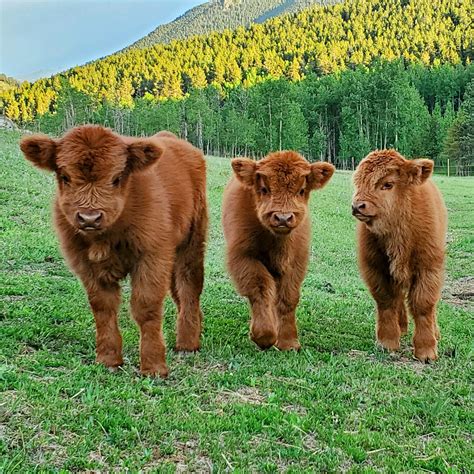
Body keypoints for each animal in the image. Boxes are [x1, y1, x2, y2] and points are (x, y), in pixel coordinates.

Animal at [20, 126, 206, 378]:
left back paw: (187, 343)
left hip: (192, 242)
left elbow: (146, 307)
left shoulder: (153, 256)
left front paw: (154, 366)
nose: (89, 218)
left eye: (117, 178)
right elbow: (102, 307)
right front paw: (108, 359)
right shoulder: (85, 264)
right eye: (65, 176)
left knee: (189, 287)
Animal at [224, 152, 336, 352]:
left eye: (302, 190)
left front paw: (288, 342)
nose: (283, 218)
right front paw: (264, 336)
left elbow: (288, 298)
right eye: (264, 189)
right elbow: (260, 289)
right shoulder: (242, 256)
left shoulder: (297, 261)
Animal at [352, 150, 448, 362]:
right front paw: (387, 342)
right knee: (398, 299)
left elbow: (423, 305)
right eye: (358, 182)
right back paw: (402, 327)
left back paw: (435, 332)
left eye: (387, 184)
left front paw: (426, 350)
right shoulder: (376, 269)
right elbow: (387, 301)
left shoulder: (428, 268)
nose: (357, 206)